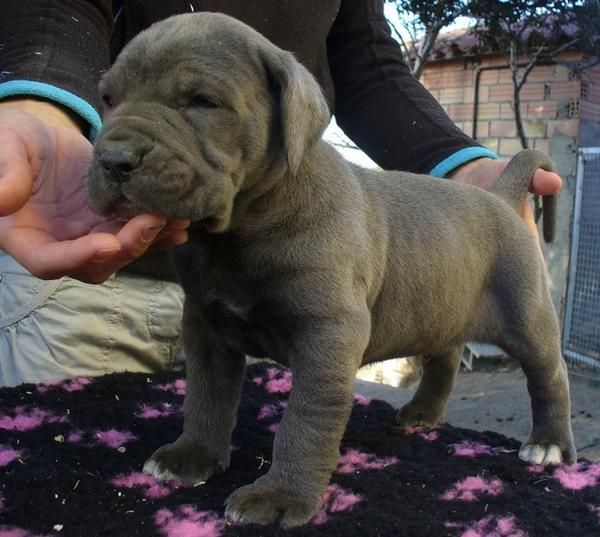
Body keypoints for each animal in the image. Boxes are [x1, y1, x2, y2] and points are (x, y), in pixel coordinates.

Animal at [85, 12, 576, 528]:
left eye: (201, 101)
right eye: (109, 98)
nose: (114, 160)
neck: (239, 228)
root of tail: (501, 195)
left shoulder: (329, 334)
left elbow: (305, 418)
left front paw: (282, 495)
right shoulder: (205, 324)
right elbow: (205, 395)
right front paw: (191, 456)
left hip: (525, 311)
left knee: (549, 373)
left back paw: (548, 444)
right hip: (443, 308)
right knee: (445, 357)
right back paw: (422, 413)